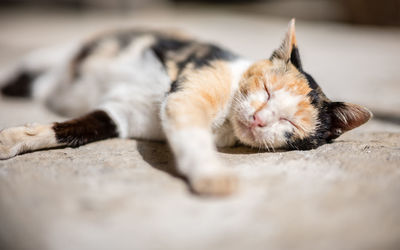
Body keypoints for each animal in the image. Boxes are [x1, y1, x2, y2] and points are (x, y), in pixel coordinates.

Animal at [0, 19, 372, 195]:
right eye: (266, 91)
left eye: (289, 123)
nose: (258, 118)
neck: (224, 125)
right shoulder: (188, 94)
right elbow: (193, 136)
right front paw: (213, 175)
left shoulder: (123, 114)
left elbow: (75, 129)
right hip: (52, 56)